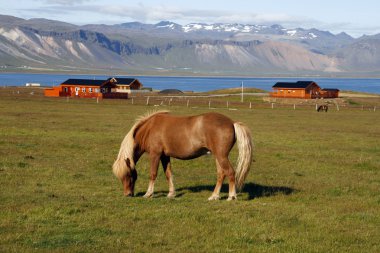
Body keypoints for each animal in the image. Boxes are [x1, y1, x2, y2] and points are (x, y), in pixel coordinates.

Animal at [113, 110, 252, 200]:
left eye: (128, 174)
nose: (127, 194)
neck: (150, 128)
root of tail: (232, 122)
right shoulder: (164, 156)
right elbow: (168, 174)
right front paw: (171, 194)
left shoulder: (155, 155)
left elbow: (153, 174)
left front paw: (148, 194)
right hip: (218, 156)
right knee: (221, 174)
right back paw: (214, 196)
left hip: (221, 156)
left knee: (230, 172)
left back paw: (231, 196)